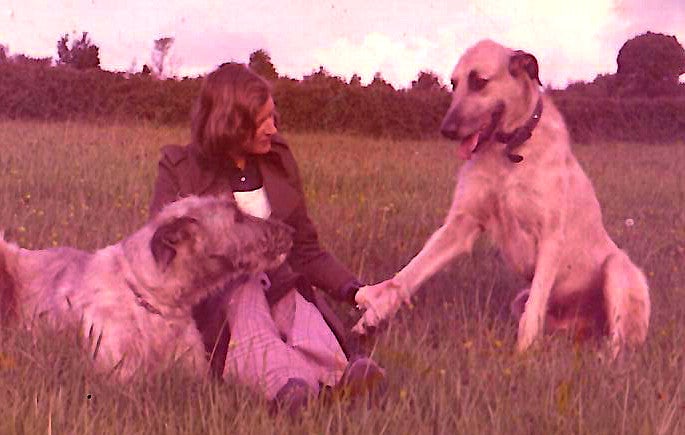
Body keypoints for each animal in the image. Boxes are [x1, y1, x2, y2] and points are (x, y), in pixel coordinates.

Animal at [356, 39, 648, 360]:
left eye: (479, 81)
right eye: (454, 83)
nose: (446, 129)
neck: (509, 152)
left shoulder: (550, 237)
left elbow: (534, 309)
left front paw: (523, 354)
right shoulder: (462, 225)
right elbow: (409, 274)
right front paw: (372, 314)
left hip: (617, 268)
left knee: (618, 343)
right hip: (523, 300)